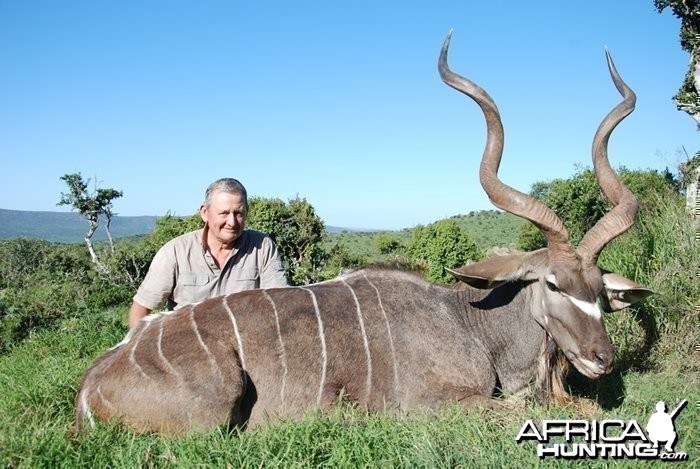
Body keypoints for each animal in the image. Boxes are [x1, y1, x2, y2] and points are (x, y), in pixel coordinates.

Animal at [75, 33, 652, 436]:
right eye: (553, 284)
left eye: (599, 291)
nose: (602, 358)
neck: (471, 322)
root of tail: (91, 385)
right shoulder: (436, 404)